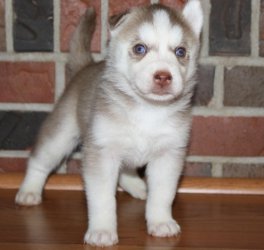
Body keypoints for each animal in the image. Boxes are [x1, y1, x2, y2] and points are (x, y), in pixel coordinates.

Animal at [15, 0, 203, 247]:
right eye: (140, 49)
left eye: (180, 51)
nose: (163, 76)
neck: (148, 110)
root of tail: (85, 67)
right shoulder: (102, 152)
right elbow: (102, 197)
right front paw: (102, 231)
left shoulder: (168, 154)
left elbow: (163, 194)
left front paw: (161, 221)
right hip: (60, 136)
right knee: (40, 160)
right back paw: (29, 191)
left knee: (126, 169)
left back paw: (139, 187)